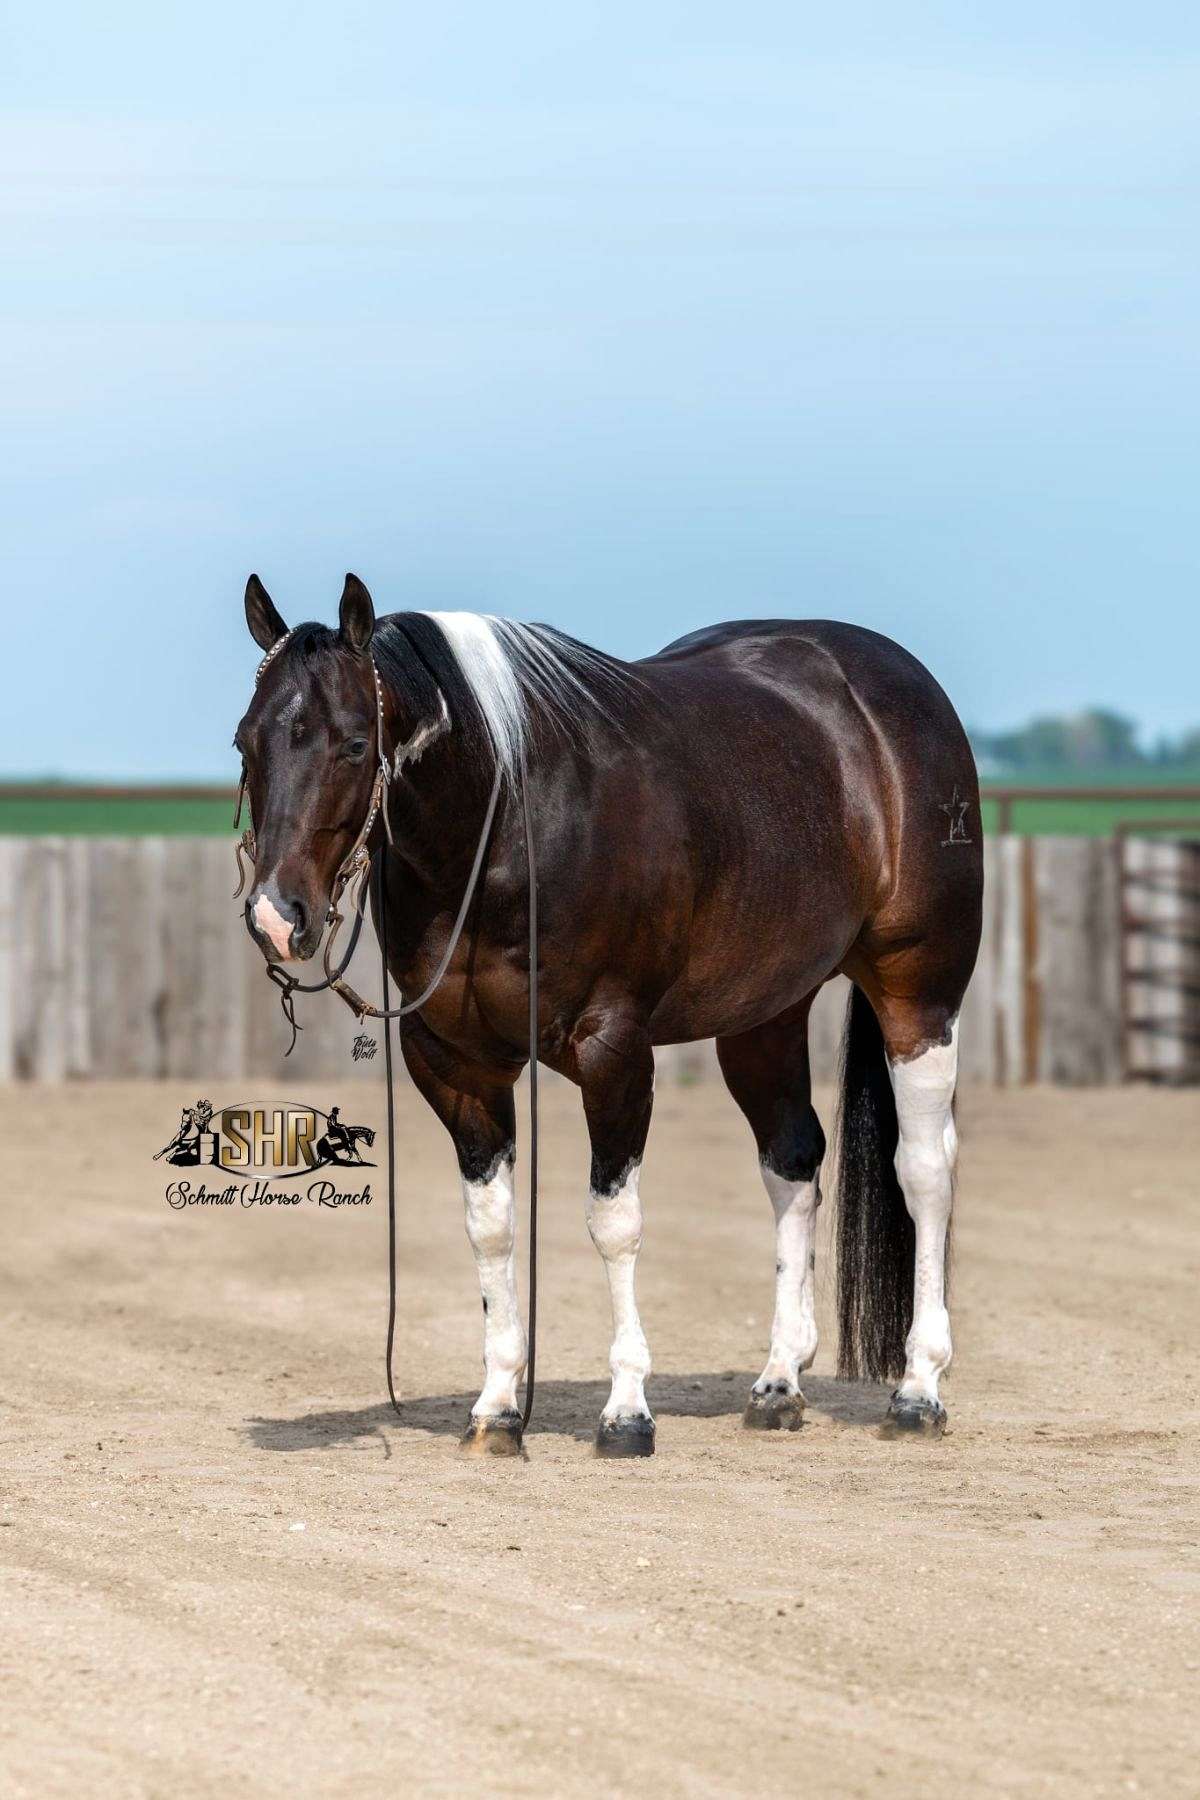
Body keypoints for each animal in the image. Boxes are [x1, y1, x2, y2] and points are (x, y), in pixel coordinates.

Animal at [234, 572, 982, 1457]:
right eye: (246, 743)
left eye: (354, 744)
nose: (278, 915)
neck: (510, 817)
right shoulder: (454, 1062)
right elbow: (491, 1228)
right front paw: (496, 1408)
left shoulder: (613, 1050)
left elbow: (613, 1222)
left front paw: (626, 1409)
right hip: (762, 1017)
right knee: (793, 1165)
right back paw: (778, 1383)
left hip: (919, 994)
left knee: (924, 1171)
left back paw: (919, 1389)